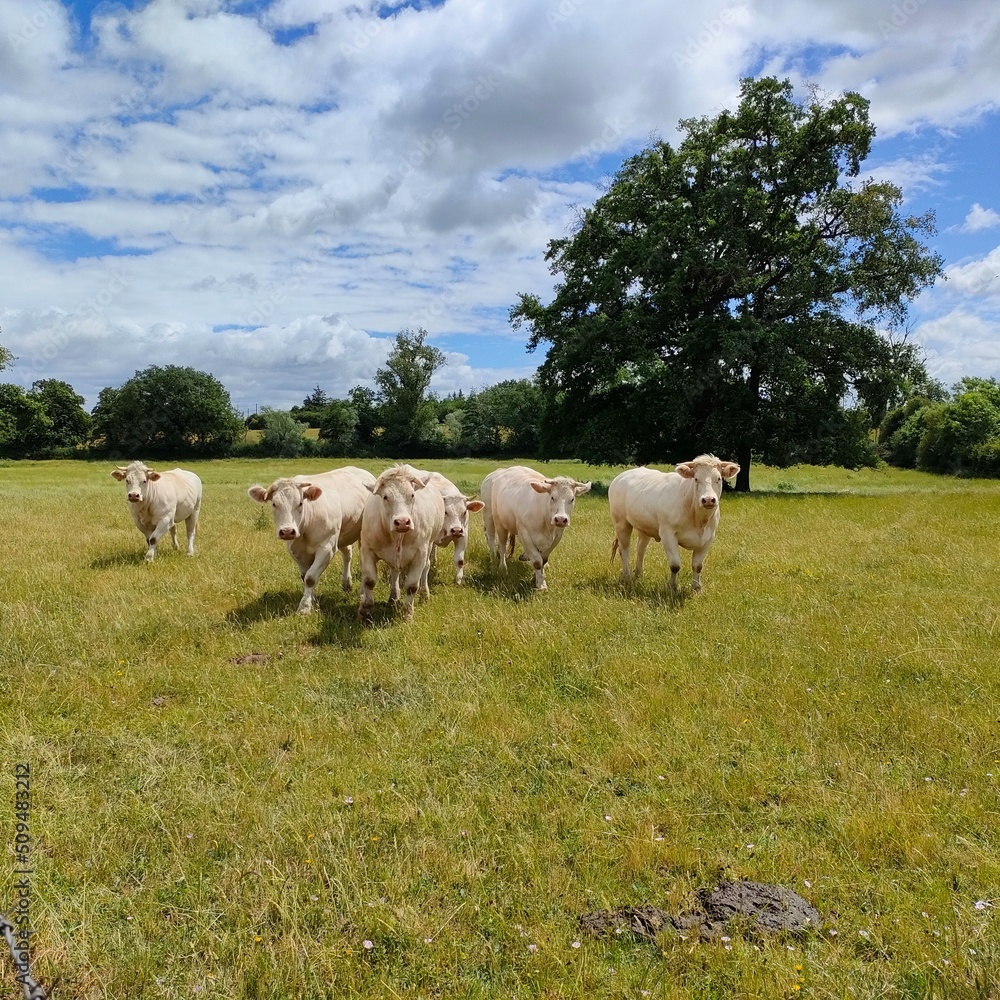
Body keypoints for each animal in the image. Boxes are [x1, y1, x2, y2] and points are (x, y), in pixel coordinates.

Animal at [248, 464, 376, 612]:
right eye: (274, 504)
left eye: (300, 503)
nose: (287, 531)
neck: (304, 529)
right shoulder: (296, 551)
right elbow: (305, 577)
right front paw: (312, 601)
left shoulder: (327, 548)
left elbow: (310, 578)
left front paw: (304, 607)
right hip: (343, 533)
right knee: (347, 554)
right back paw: (346, 583)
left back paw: (362, 592)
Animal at [356, 466, 442, 620]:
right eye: (385, 497)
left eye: (412, 495)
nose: (402, 522)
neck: (396, 537)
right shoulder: (367, 549)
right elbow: (369, 581)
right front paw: (364, 610)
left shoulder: (420, 554)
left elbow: (412, 586)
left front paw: (408, 613)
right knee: (394, 571)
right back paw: (393, 597)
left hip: (430, 545)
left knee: (426, 568)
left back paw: (424, 594)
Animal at [604, 456, 740, 592]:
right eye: (696, 479)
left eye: (718, 478)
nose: (708, 500)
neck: (698, 519)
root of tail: (622, 476)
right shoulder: (667, 533)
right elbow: (675, 565)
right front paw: (672, 587)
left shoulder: (708, 537)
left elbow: (697, 565)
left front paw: (696, 588)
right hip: (621, 522)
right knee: (624, 550)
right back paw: (627, 577)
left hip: (644, 527)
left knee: (641, 549)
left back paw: (638, 574)